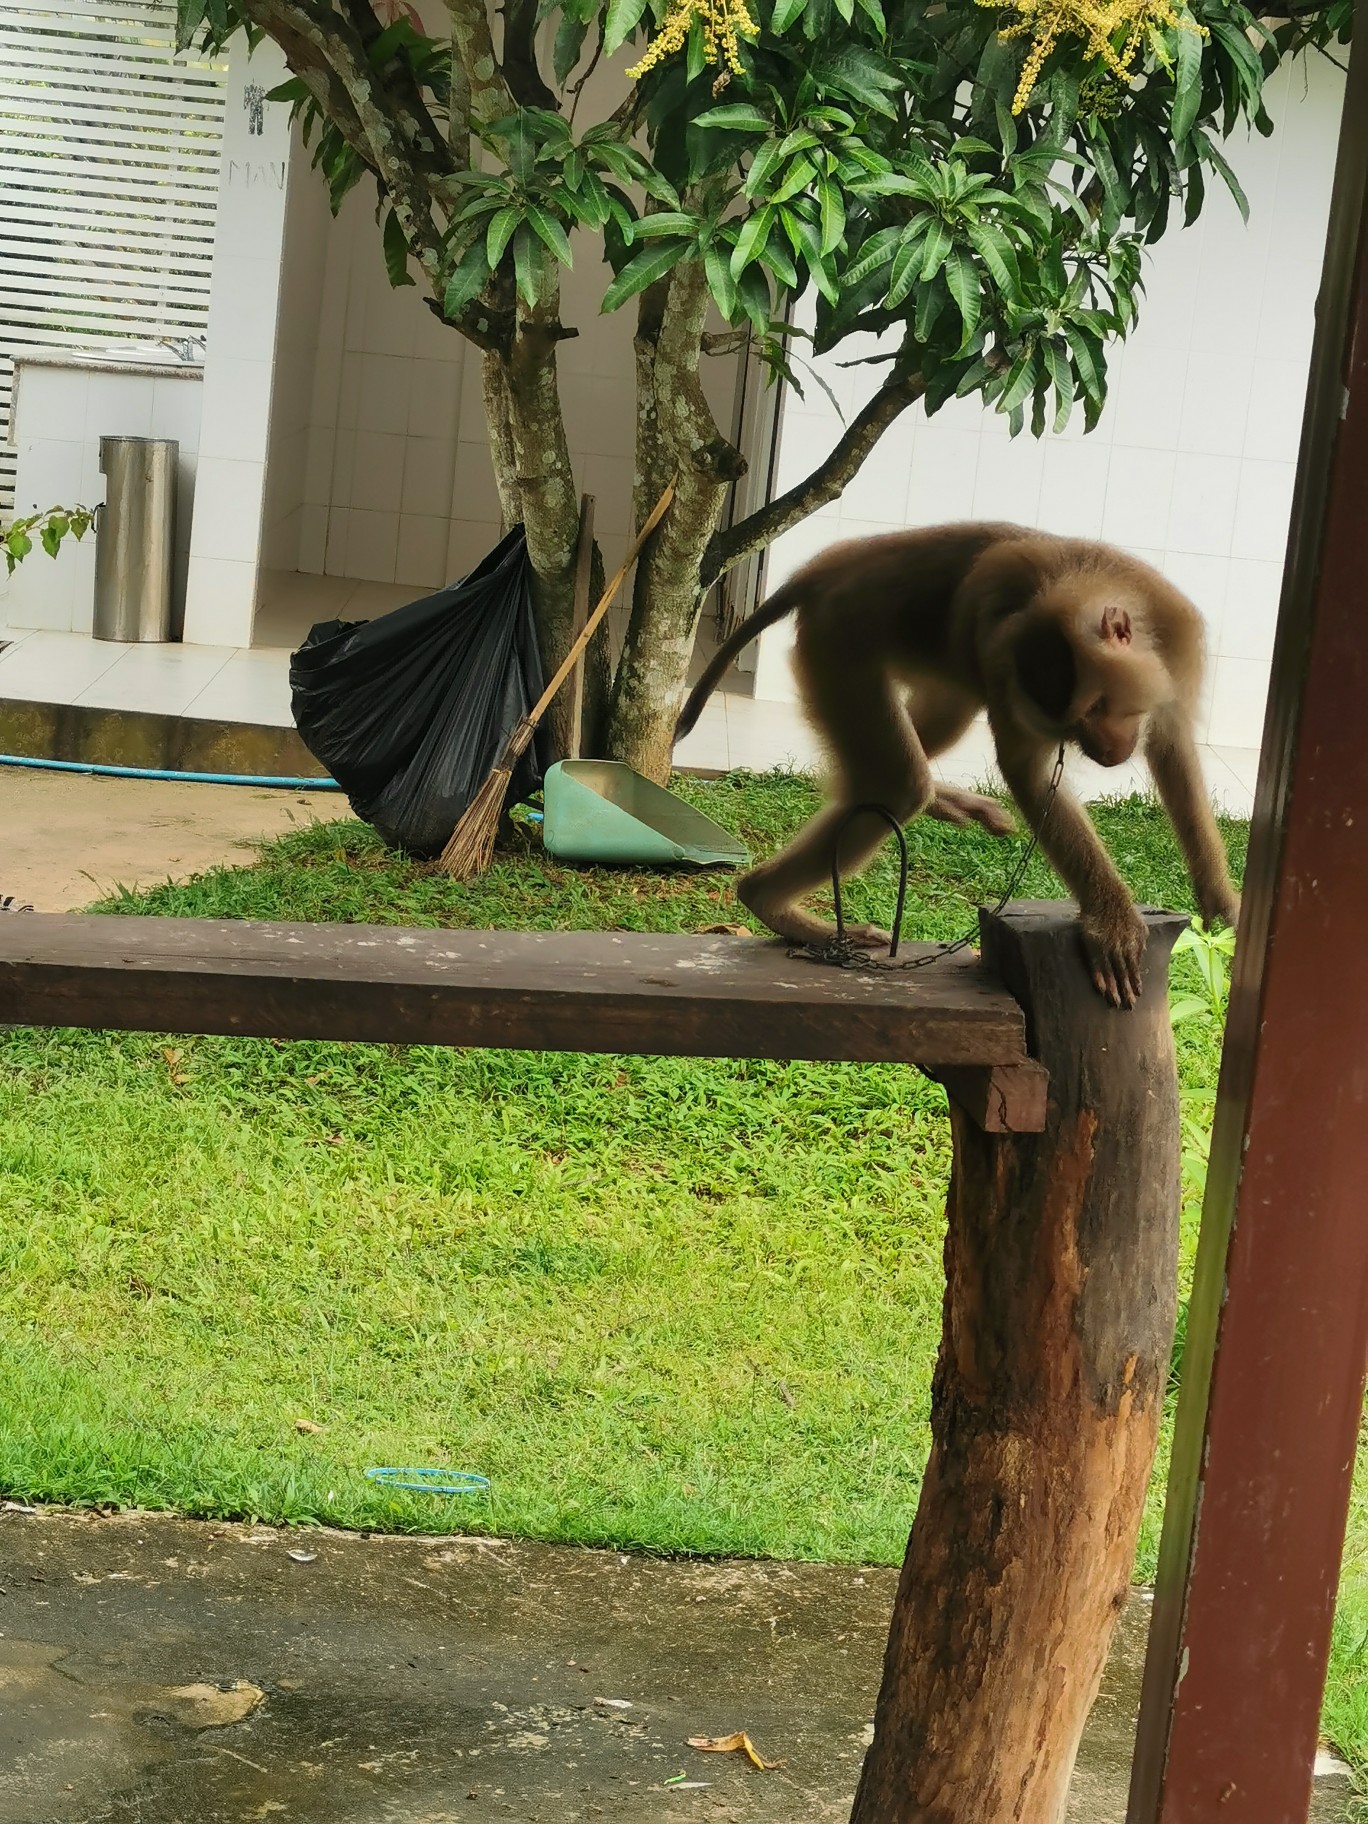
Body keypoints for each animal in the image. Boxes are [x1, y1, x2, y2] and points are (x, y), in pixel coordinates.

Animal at [678, 521, 1240, 1014]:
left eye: (1100, 708)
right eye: (1076, 723)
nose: (1104, 752)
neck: (1082, 581)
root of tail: (830, 564)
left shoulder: (1175, 635)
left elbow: (1172, 746)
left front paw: (1221, 900)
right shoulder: (1006, 670)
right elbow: (1027, 773)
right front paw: (1111, 919)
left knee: (925, 733)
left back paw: (936, 799)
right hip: (836, 639)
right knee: (898, 784)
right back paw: (768, 901)